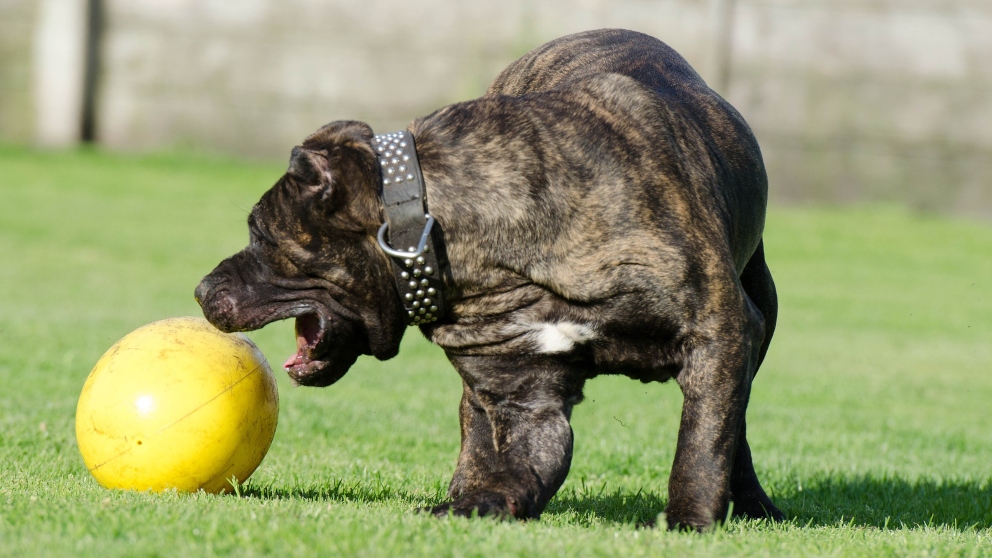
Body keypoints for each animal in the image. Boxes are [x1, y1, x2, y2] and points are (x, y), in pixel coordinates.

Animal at [194, 27, 784, 532]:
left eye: (260, 235)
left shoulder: (717, 332)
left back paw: (754, 504)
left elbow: (703, 440)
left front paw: (688, 520)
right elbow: (516, 461)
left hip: (760, 315)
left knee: (735, 426)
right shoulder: (521, 394)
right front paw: (473, 505)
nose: (200, 289)